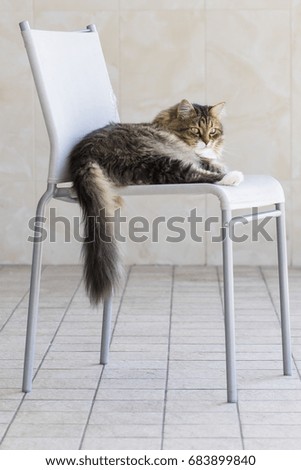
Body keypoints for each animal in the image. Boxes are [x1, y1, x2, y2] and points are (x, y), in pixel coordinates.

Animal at [69, 99, 243, 304]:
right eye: (195, 130)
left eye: (213, 131)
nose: (207, 142)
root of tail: (84, 153)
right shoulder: (192, 156)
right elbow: (208, 163)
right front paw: (222, 168)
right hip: (156, 160)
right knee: (189, 174)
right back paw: (232, 177)